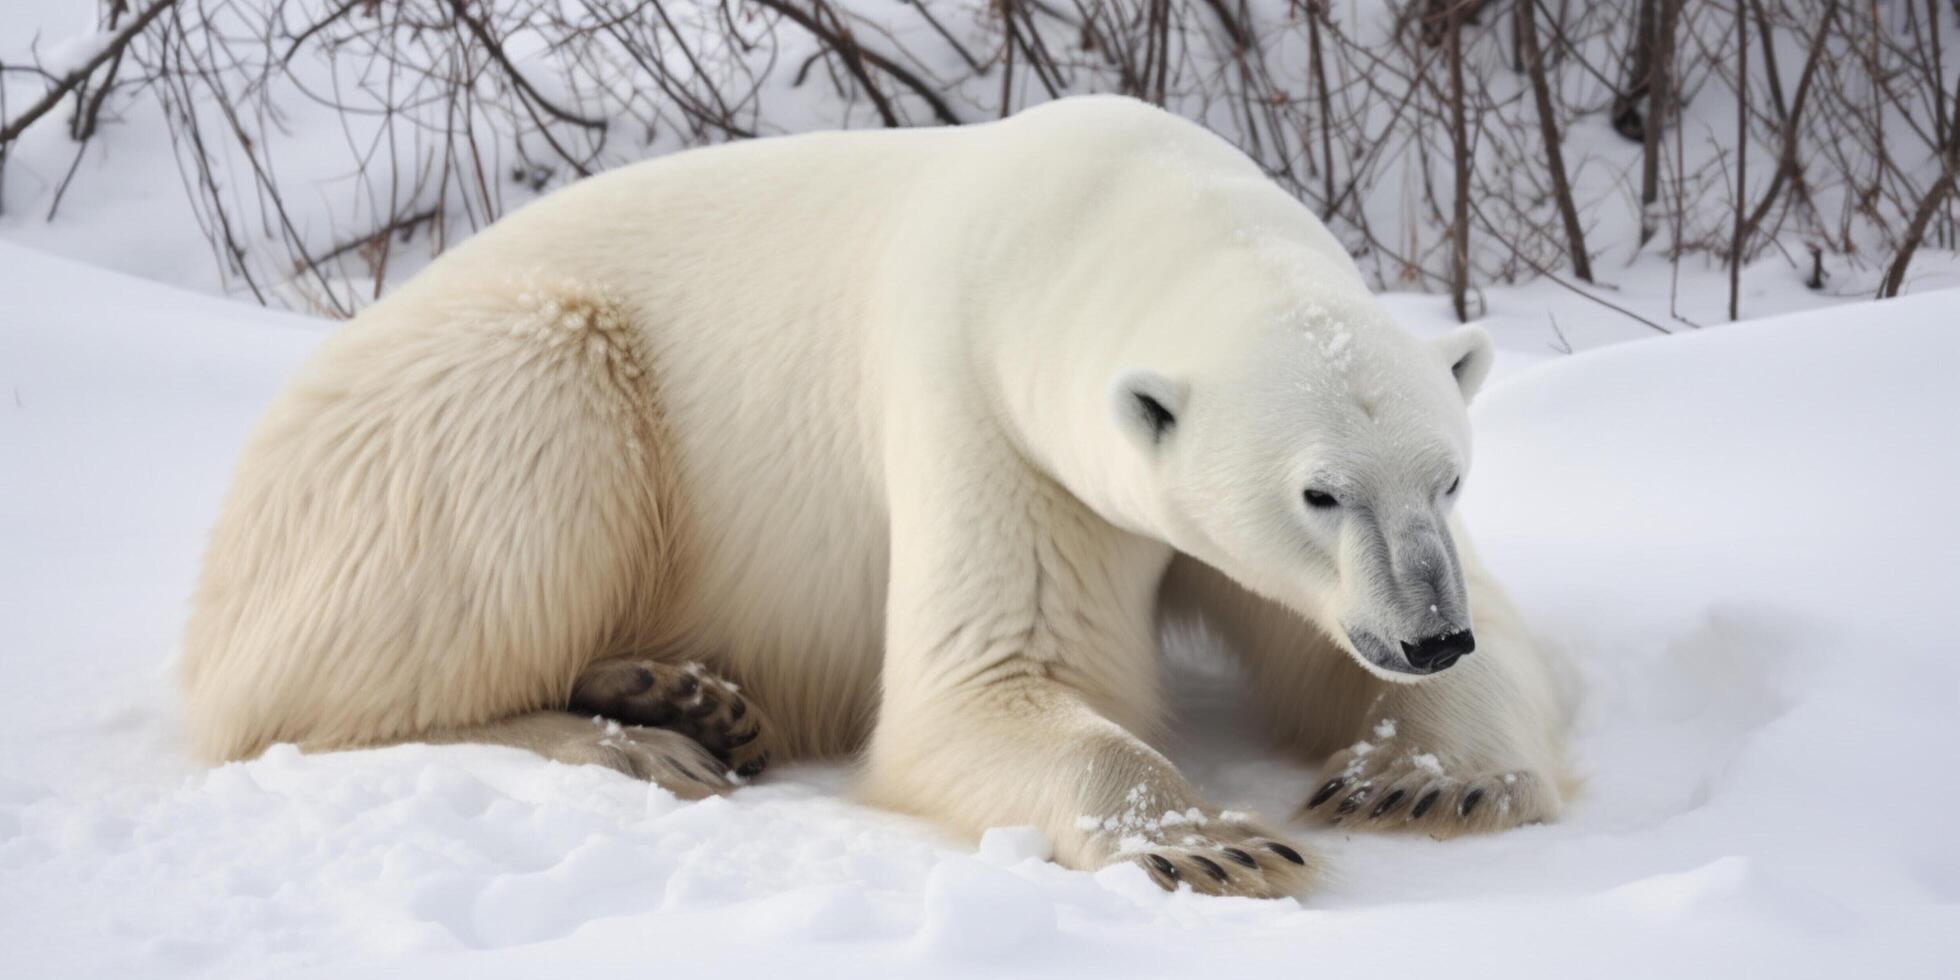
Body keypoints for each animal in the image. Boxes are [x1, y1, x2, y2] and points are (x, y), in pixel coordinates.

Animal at [176, 95, 1568, 897]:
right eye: (1317, 491)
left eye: (1448, 473)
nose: (1426, 632)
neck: (1085, 209)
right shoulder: (981, 408)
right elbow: (978, 684)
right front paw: (1203, 835)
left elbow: (1346, 640)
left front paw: (1425, 776)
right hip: (467, 406)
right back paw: (640, 735)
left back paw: (681, 693)